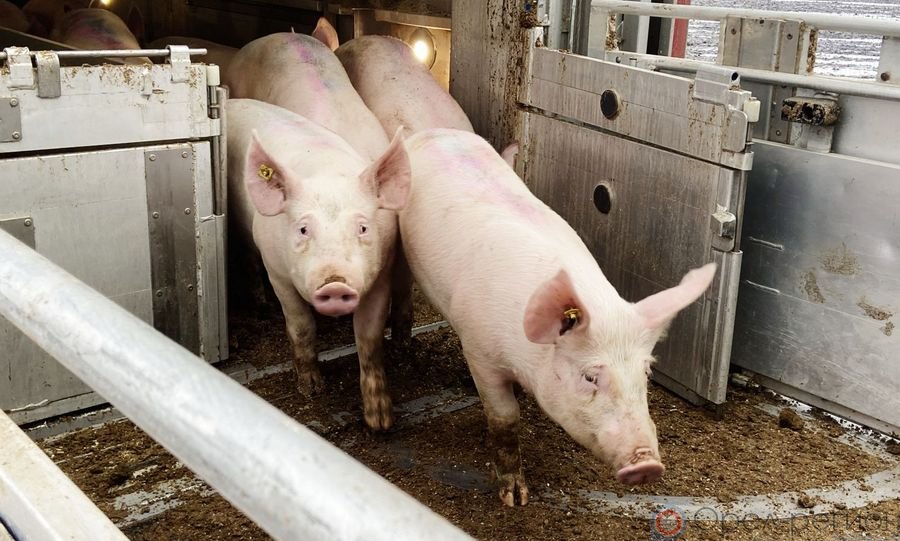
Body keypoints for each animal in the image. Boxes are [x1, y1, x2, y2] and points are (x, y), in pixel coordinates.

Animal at [226, 98, 410, 431]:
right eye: (302, 229)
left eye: (363, 228)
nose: (334, 283)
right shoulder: (278, 274)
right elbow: (301, 327)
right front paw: (311, 390)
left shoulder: (380, 274)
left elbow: (369, 338)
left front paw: (380, 421)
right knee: (247, 259)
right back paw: (262, 308)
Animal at [398, 128, 718, 506]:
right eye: (590, 377)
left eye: (646, 372)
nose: (647, 464)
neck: (523, 358)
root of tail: (432, 131)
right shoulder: (478, 351)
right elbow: (504, 418)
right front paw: (515, 499)